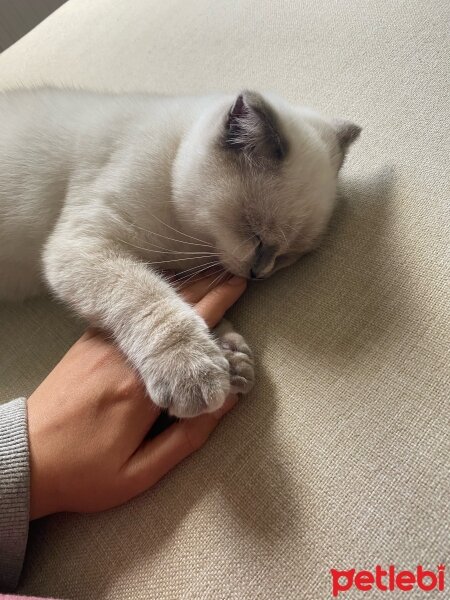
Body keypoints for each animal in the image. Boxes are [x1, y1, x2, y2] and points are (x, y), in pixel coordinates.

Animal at [0, 88, 360, 418]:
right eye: (256, 236)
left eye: (288, 256)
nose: (260, 273)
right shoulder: (85, 245)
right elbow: (151, 297)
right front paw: (195, 371)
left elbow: (187, 302)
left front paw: (231, 357)